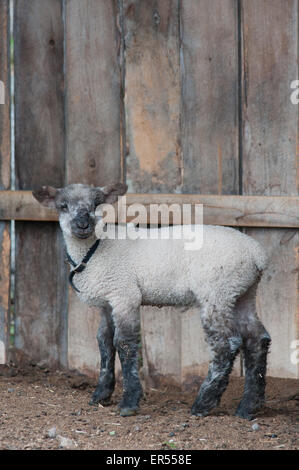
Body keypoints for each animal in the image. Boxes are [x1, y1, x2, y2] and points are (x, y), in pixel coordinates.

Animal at [32, 183, 272, 418]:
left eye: (97, 203)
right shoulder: (107, 303)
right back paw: (249, 407)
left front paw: (129, 402)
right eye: (63, 205)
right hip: (241, 293)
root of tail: (257, 254)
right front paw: (101, 395)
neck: (98, 248)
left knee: (226, 344)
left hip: (216, 292)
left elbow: (125, 343)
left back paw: (203, 404)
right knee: (258, 339)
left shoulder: (124, 294)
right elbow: (104, 342)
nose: (82, 225)